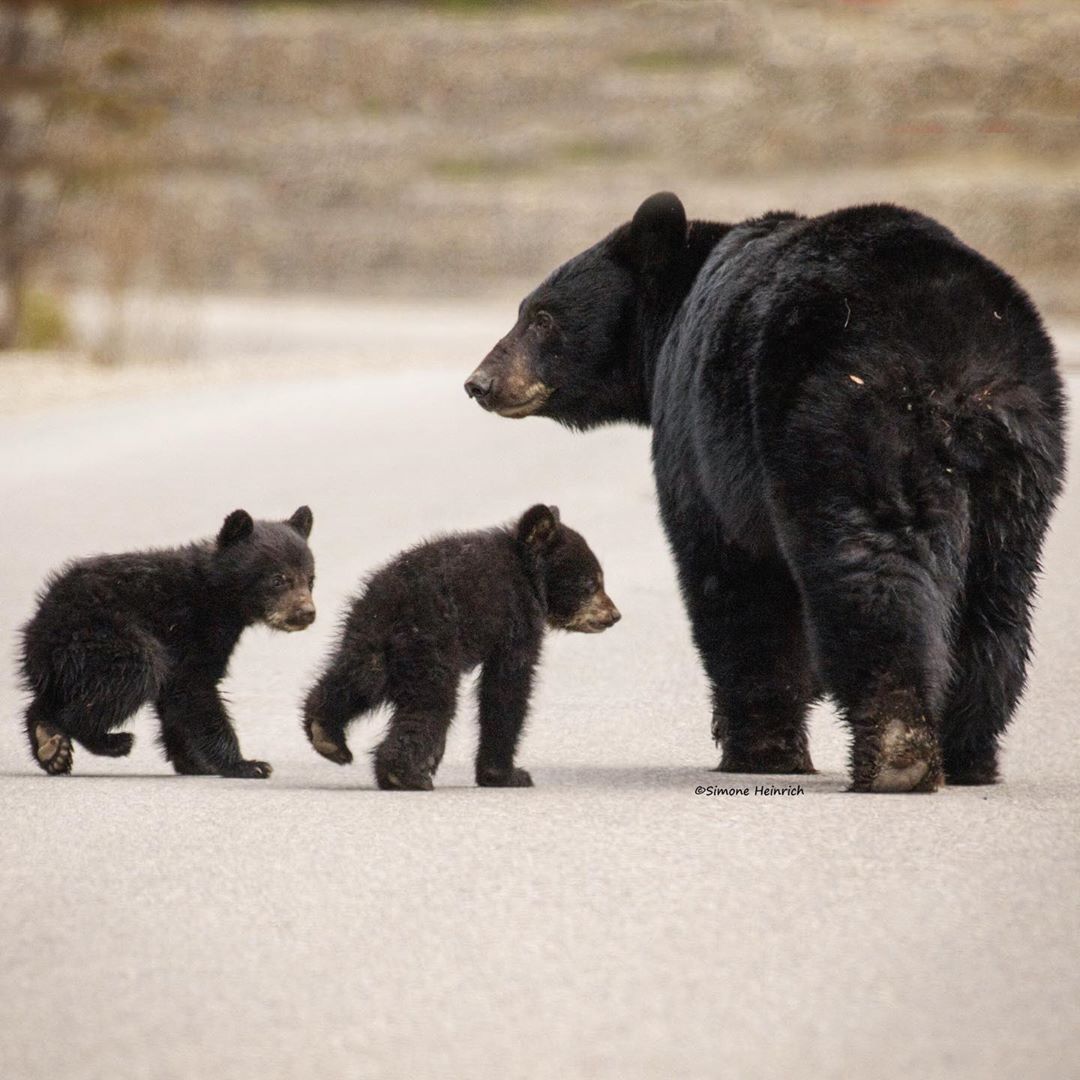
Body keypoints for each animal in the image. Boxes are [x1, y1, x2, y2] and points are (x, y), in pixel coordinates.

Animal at [19, 505, 315, 777]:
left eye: (310, 579)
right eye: (278, 579)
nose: (307, 613)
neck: (217, 593)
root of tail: (39, 630)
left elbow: (174, 699)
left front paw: (192, 762)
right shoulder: (190, 628)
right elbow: (195, 689)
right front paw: (245, 764)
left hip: (69, 664)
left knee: (49, 699)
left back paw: (50, 745)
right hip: (103, 635)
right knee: (135, 672)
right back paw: (110, 741)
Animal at [304, 505, 626, 794]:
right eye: (590, 583)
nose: (614, 615)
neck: (526, 574)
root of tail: (389, 606)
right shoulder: (516, 619)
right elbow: (507, 686)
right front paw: (505, 774)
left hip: (365, 643)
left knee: (355, 681)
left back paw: (326, 734)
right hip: (430, 646)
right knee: (431, 703)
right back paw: (405, 775)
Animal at [468, 194, 1067, 790]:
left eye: (542, 317)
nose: (479, 382)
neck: (672, 315)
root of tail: (956, 360)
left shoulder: (702, 442)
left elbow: (733, 582)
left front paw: (761, 750)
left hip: (843, 424)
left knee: (870, 576)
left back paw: (898, 751)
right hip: (1019, 462)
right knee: (995, 600)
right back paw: (968, 753)